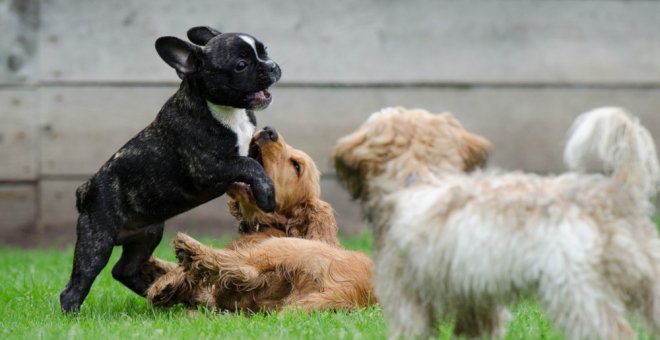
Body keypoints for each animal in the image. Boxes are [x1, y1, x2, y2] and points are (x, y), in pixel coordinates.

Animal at [143, 127, 376, 310]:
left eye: (296, 166)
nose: (268, 130)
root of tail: (350, 292)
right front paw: (156, 267)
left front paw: (166, 280)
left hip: (285, 248)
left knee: (244, 268)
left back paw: (189, 251)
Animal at [332, 107, 660, 340]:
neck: (420, 178)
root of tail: (616, 192)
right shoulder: (478, 305)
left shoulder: (406, 299)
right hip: (649, 285)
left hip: (577, 294)